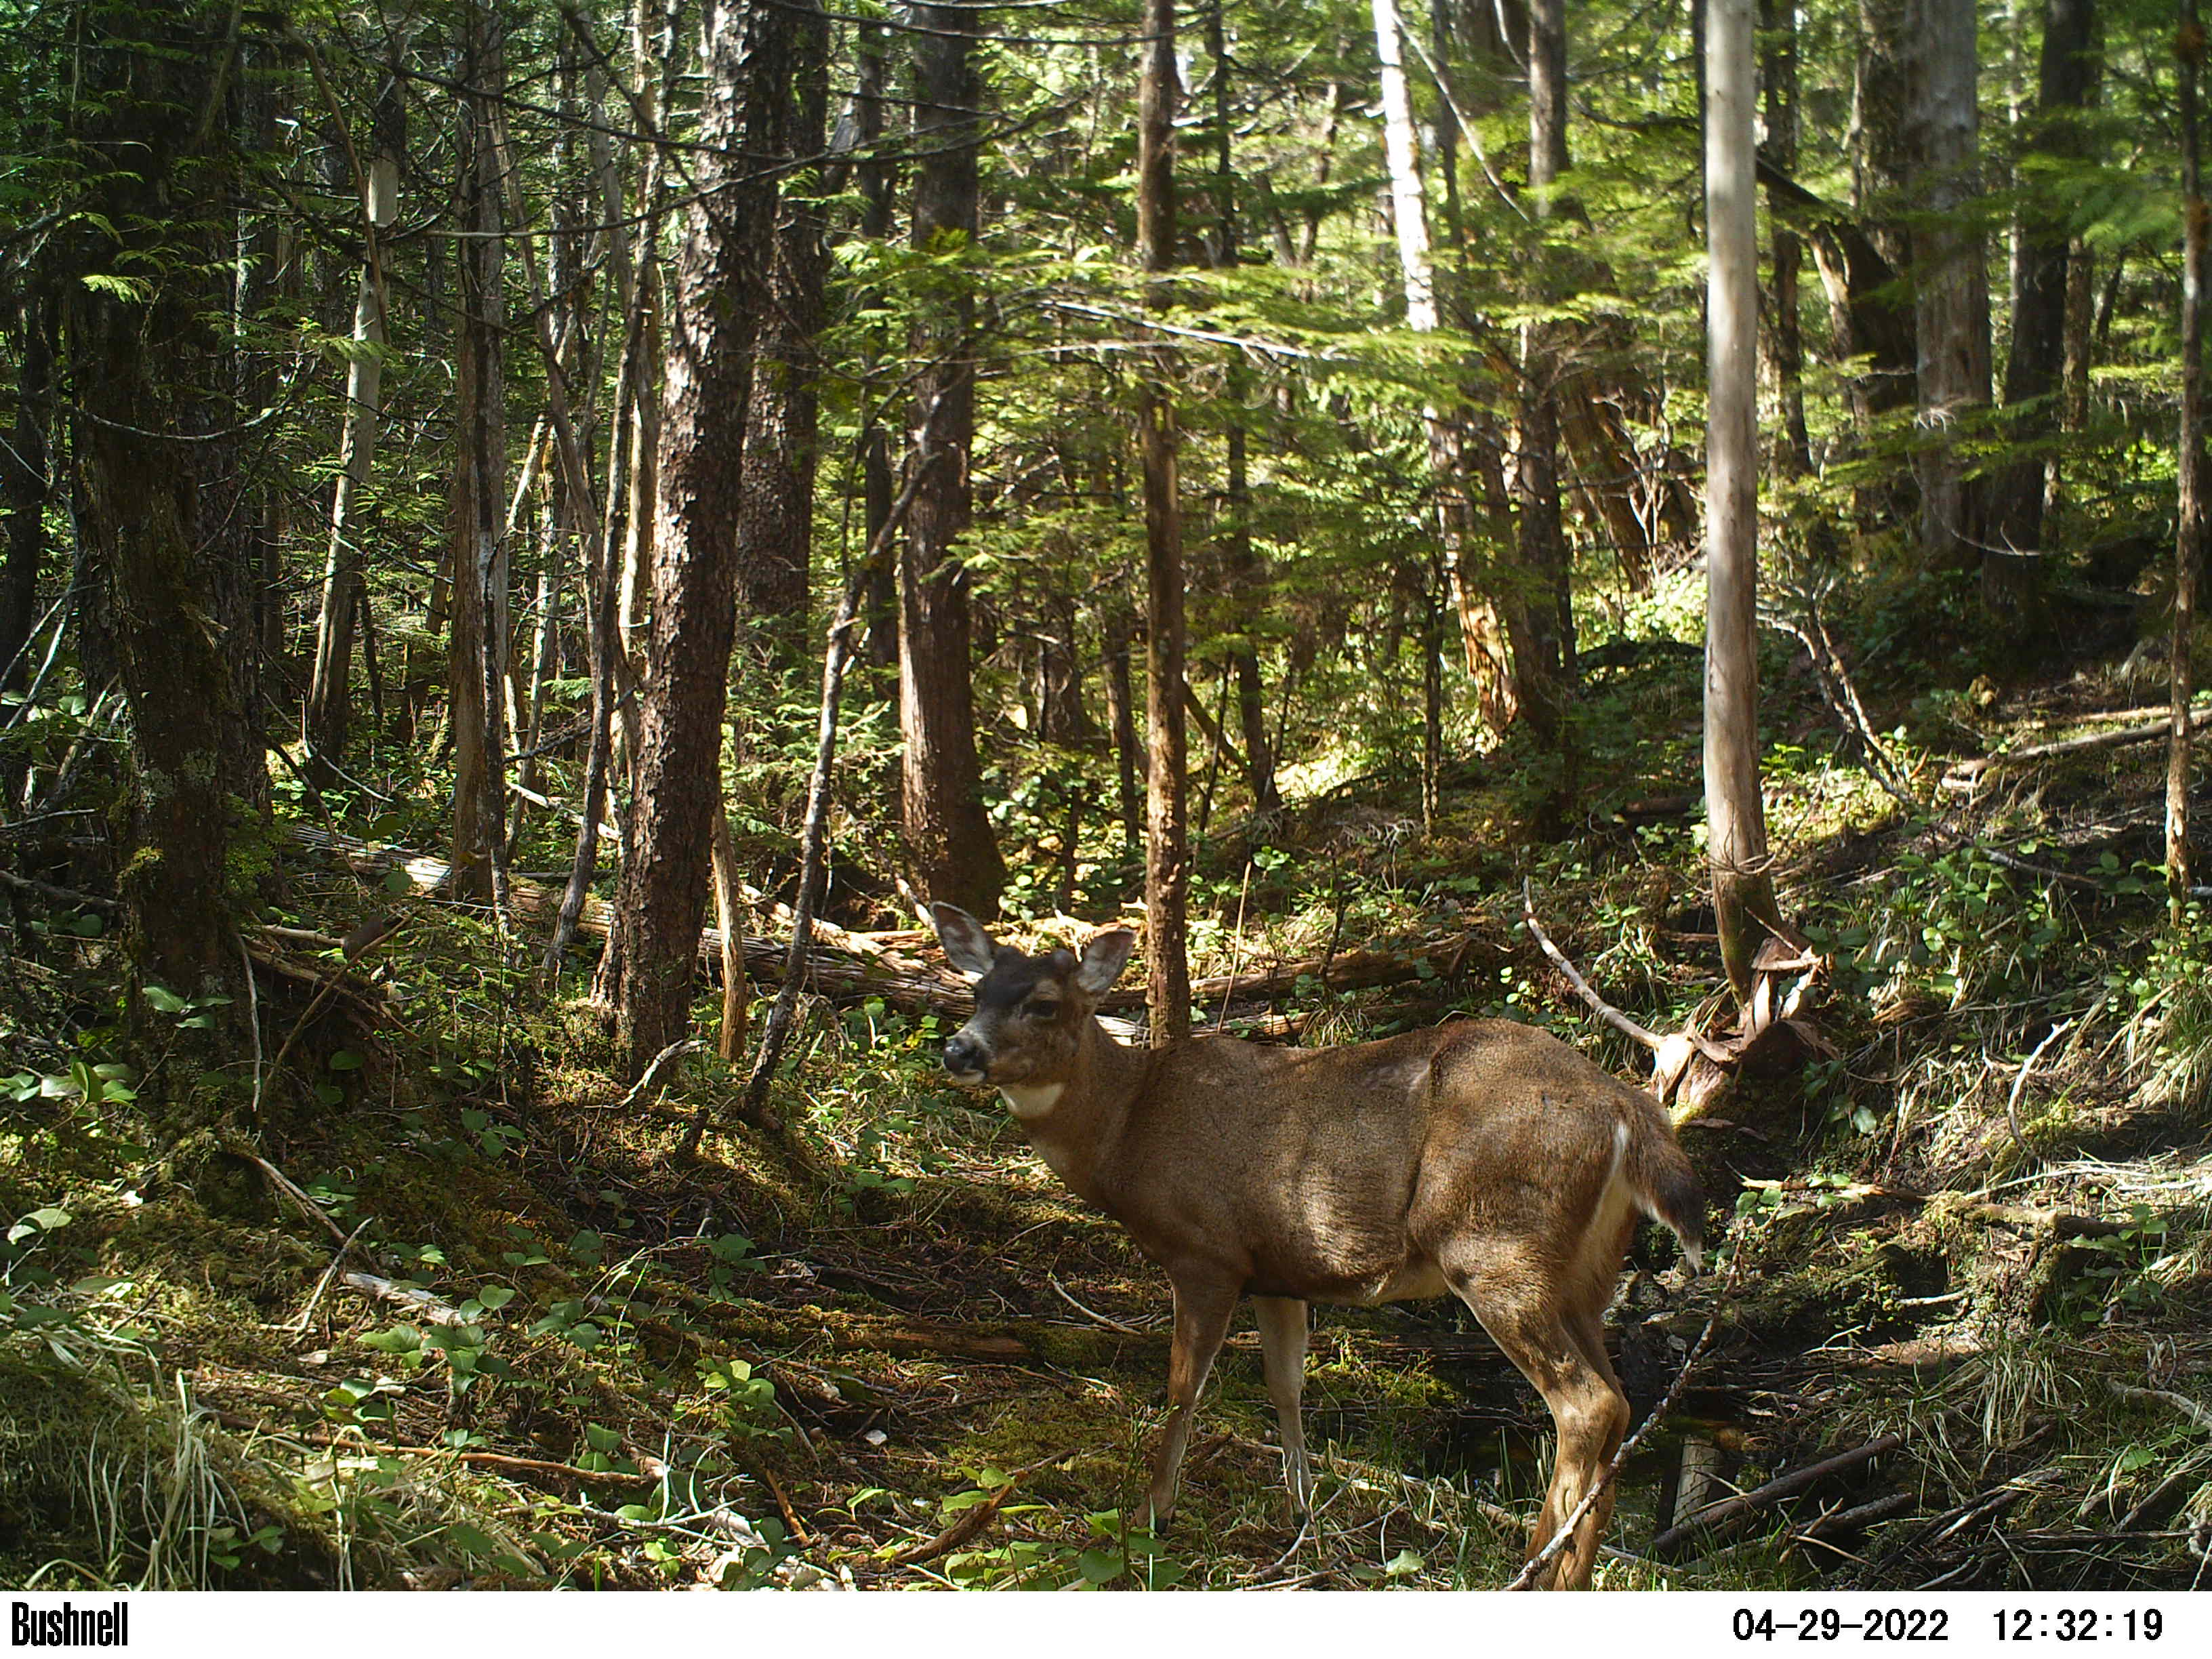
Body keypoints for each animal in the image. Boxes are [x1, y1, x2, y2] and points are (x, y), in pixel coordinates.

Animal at [924, 903, 1705, 1589]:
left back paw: (1536, 1569)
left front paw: (1152, 1515)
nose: (959, 1049)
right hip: (1584, 1272)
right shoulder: (1276, 1270)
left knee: (1586, 1405)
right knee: (1623, 1405)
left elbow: (1182, 1389)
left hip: (1495, 1248)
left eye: (1044, 1004)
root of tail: (1627, 1108)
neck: (1124, 1130)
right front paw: (1304, 1517)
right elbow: (1287, 1386)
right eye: (977, 989)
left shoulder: (1205, 1252)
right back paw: (1573, 1574)